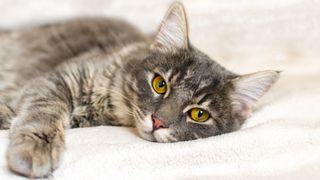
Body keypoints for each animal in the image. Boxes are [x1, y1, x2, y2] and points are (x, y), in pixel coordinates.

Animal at [0, 2, 280, 178]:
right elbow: (44, 110)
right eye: (160, 84)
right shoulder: (58, 78)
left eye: (199, 114)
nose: (158, 121)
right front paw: (36, 147)